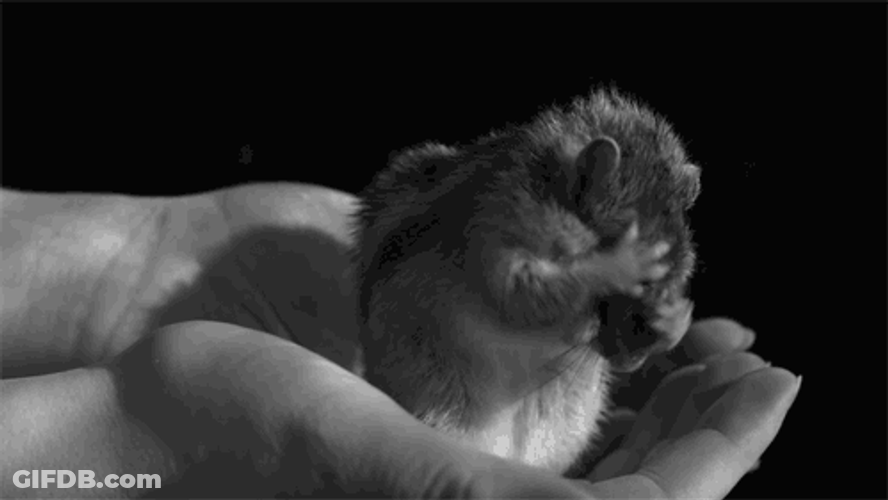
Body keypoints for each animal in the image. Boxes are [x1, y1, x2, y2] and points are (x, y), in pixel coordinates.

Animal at [351, 89, 701, 475]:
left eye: (684, 267)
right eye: (619, 228)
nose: (633, 355)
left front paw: (675, 319)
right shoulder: (500, 235)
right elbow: (524, 297)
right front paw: (623, 261)